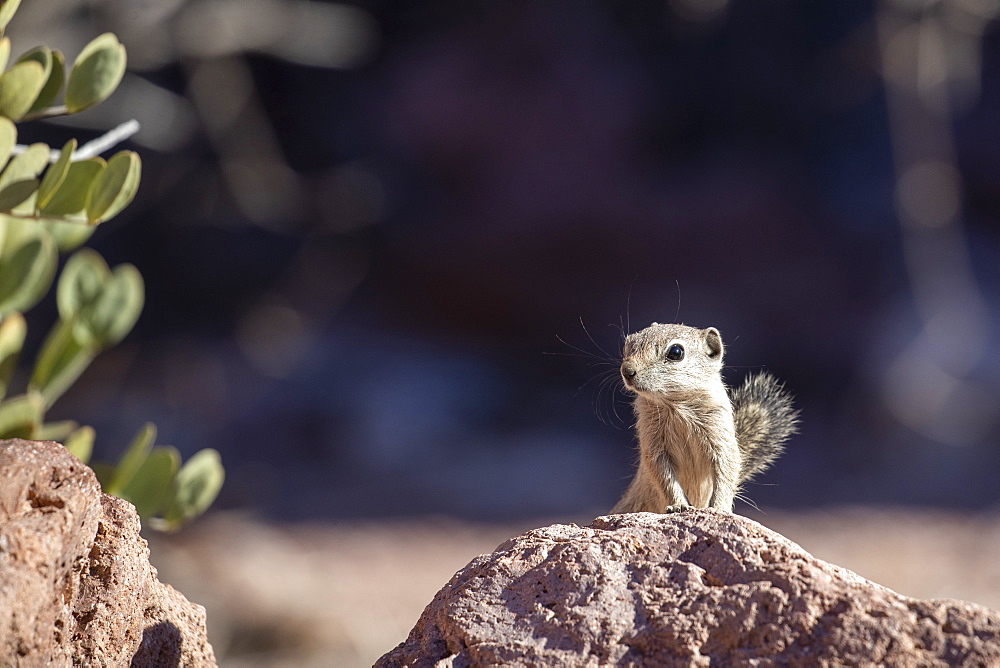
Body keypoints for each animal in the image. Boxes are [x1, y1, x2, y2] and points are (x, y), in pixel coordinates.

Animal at [608, 320, 796, 516]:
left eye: (676, 352)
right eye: (628, 343)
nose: (627, 370)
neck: (675, 406)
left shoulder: (720, 436)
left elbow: (727, 471)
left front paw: (720, 508)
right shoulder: (653, 444)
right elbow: (664, 476)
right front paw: (678, 505)